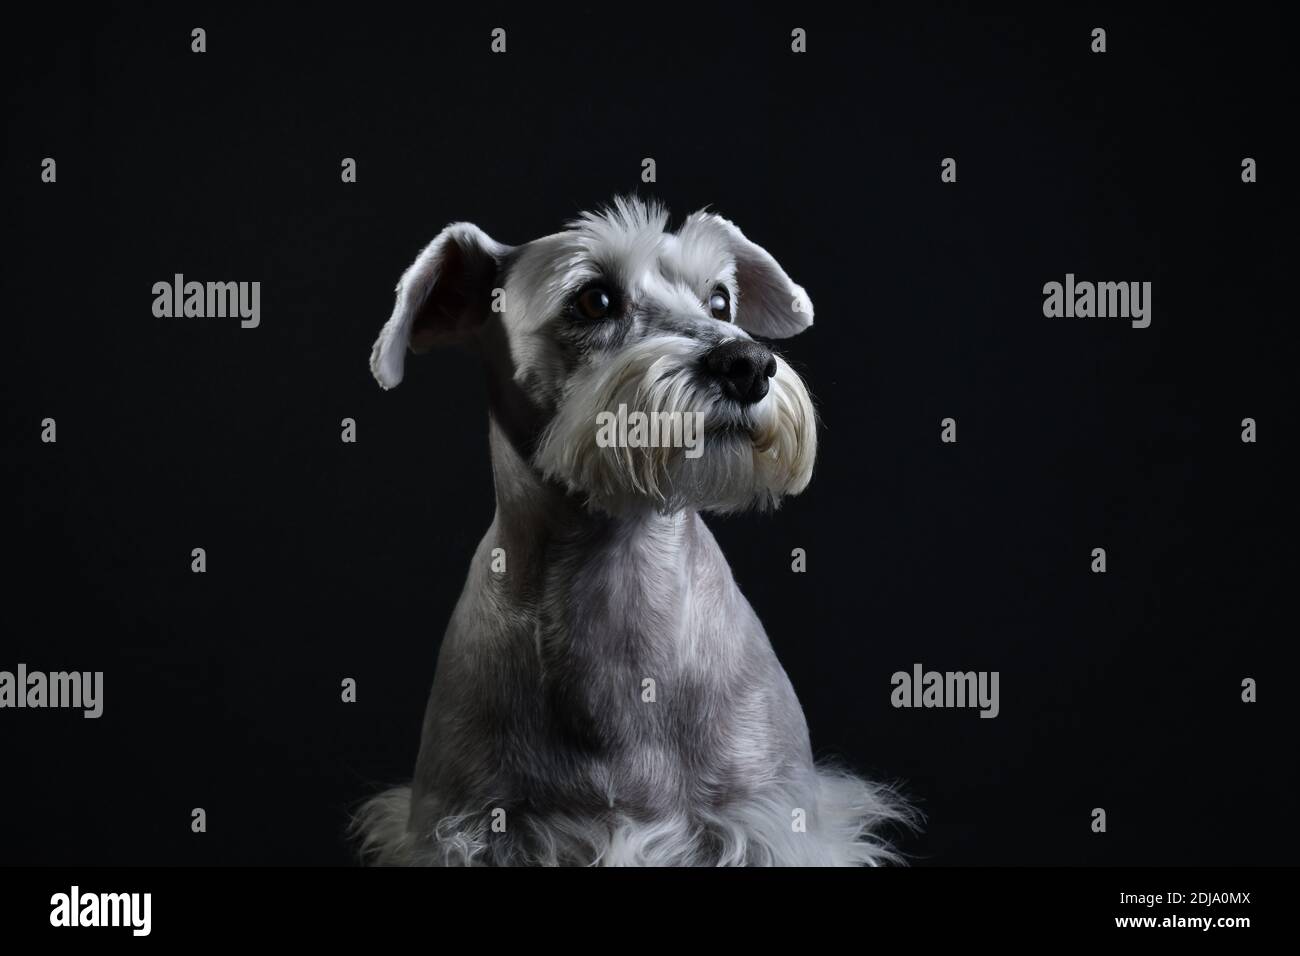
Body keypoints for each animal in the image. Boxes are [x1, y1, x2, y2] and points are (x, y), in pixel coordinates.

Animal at [351, 196, 909, 868]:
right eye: (595, 300)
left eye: (720, 300)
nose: (748, 363)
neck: (619, 567)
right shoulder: (459, 831)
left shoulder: (772, 825)